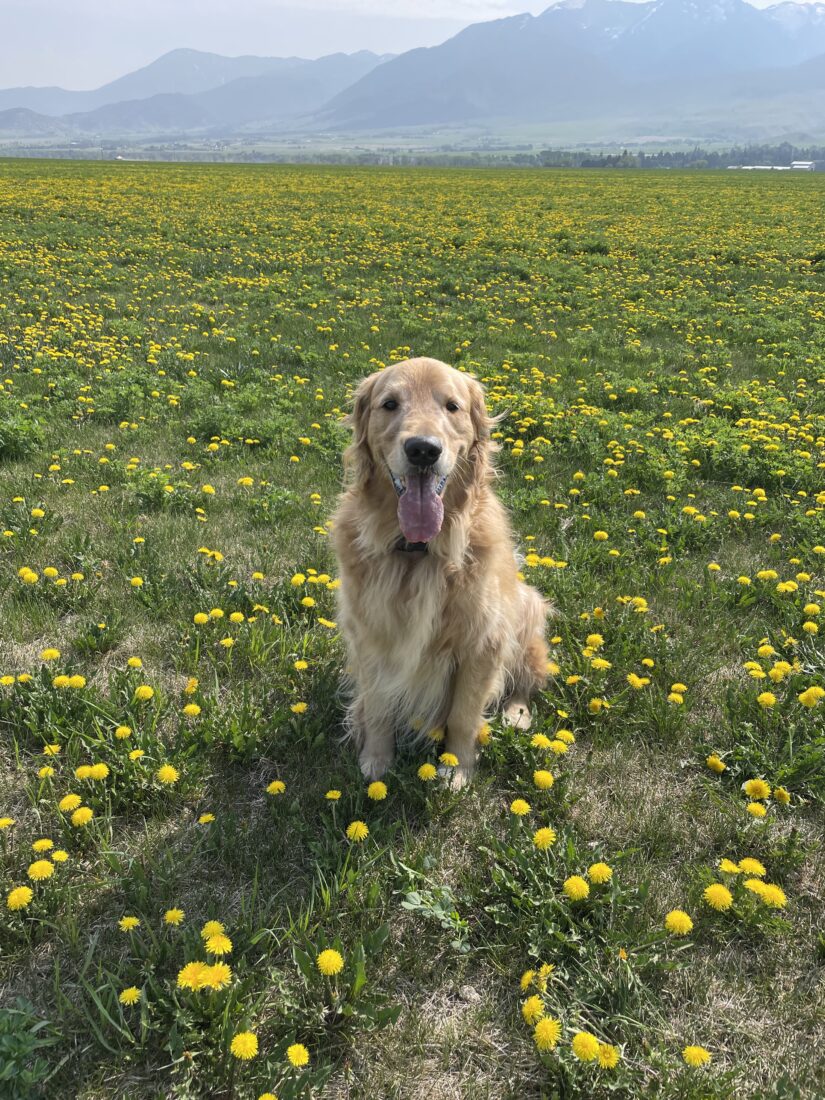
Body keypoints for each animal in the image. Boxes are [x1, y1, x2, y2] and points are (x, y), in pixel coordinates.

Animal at [330, 356, 550, 787]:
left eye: (452, 406)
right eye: (389, 404)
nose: (423, 450)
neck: (417, 551)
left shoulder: (482, 644)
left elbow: (464, 716)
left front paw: (456, 769)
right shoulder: (369, 637)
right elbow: (377, 708)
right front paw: (376, 760)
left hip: (526, 607)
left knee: (525, 678)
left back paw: (516, 713)